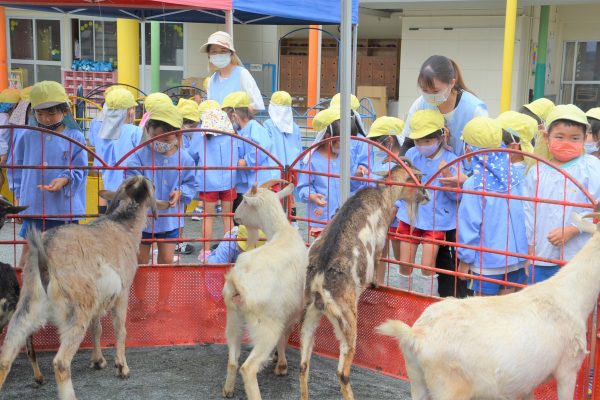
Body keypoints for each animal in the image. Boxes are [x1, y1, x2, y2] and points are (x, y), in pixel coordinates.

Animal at [0, 177, 169, 400]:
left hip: (27, 306)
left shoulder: (98, 299)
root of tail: (44, 252)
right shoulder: (123, 291)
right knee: (61, 362)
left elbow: (96, 328)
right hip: (77, 308)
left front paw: (98, 360)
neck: (123, 227)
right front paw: (121, 367)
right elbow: (120, 328)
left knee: (6, 356)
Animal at [221, 180, 310, 400]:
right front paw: (281, 365)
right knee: (248, 367)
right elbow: (285, 336)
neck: (281, 232)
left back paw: (227, 389)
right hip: (265, 326)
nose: (235, 217)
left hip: (233, 317)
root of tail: (238, 282)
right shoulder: (291, 312)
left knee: (233, 361)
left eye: (244, 201)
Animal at [298, 163, 426, 400]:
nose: (426, 195)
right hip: (347, 320)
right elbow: (378, 258)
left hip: (309, 314)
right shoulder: (380, 240)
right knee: (342, 372)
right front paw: (375, 284)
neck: (382, 194)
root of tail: (320, 282)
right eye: (417, 178)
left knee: (303, 364)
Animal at [378, 206, 600, 400]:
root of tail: (416, 334)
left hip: (417, 380)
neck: (570, 295)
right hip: (449, 389)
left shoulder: (528, 382)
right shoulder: (567, 369)